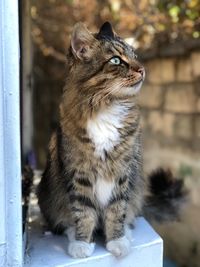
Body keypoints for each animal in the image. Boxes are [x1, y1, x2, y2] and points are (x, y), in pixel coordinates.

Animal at [38, 21, 188, 260]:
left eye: (135, 56)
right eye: (116, 61)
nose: (142, 69)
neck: (105, 106)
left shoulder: (122, 172)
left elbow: (116, 210)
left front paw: (117, 241)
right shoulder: (79, 173)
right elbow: (84, 212)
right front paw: (82, 243)